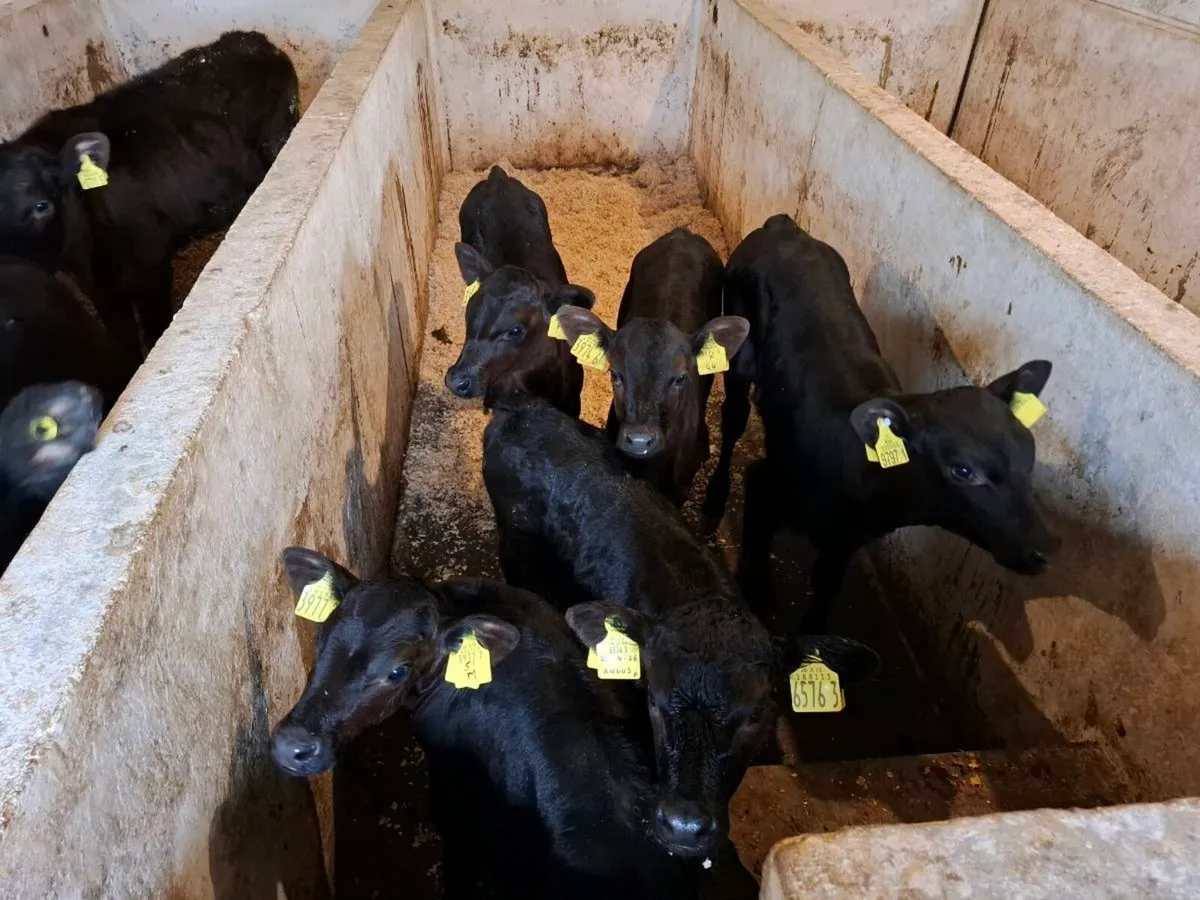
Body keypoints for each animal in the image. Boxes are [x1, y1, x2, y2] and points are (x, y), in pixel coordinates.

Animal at [0, 31, 299, 355]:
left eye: (42, 206)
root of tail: (253, 39)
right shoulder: (101, 289)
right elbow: (124, 339)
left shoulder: (151, 267)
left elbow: (155, 327)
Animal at [481, 396, 878, 859]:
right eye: (654, 702)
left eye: (756, 715)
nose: (684, 827)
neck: (696, 592)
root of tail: (521, 409)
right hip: (514, 547)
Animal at [704, 213, 1060, 632]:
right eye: (962, 469)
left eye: (1029, 457)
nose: (1046, 551)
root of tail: (784, 226)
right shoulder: (765, 486)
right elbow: (754, 574)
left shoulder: (846, 541)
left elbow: (824, 596)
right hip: (738, 354)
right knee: (732, 421)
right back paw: (714, 497)